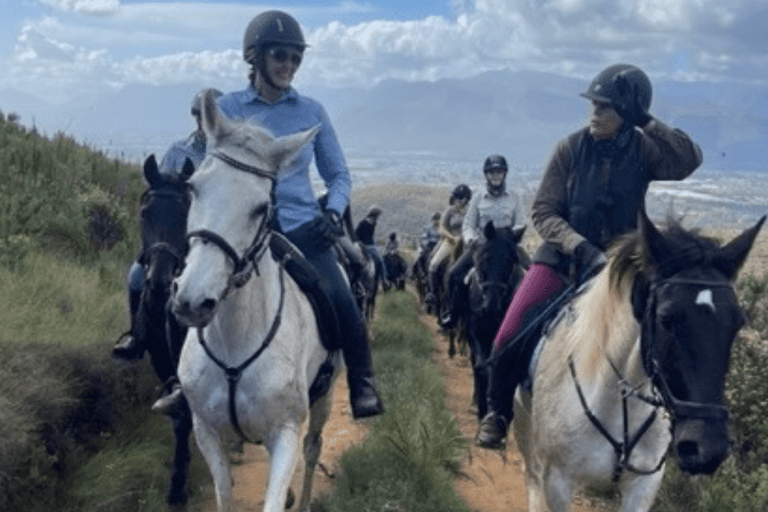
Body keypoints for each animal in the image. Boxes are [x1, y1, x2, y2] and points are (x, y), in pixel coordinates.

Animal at [171, 89, 340, 512]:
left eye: (261, 207)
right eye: (193, 187)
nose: (192, 300)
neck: (235, 344)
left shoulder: (285, 432)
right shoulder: (206, 432)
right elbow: (224, 494)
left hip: (326, 397)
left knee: (313, 448)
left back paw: (305, 497)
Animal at [462, 222, 528, 422]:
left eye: (511, 262)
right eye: (484, 259)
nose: (491, 306)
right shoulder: (477, 335)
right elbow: (483, 369)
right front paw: (483, 409)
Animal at [512, 210, 764, 510]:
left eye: (738, 323)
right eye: (665, 319)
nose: (707, 449)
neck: (617, 405)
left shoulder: (644, 485)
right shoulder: (557, 481)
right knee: (531, 478)